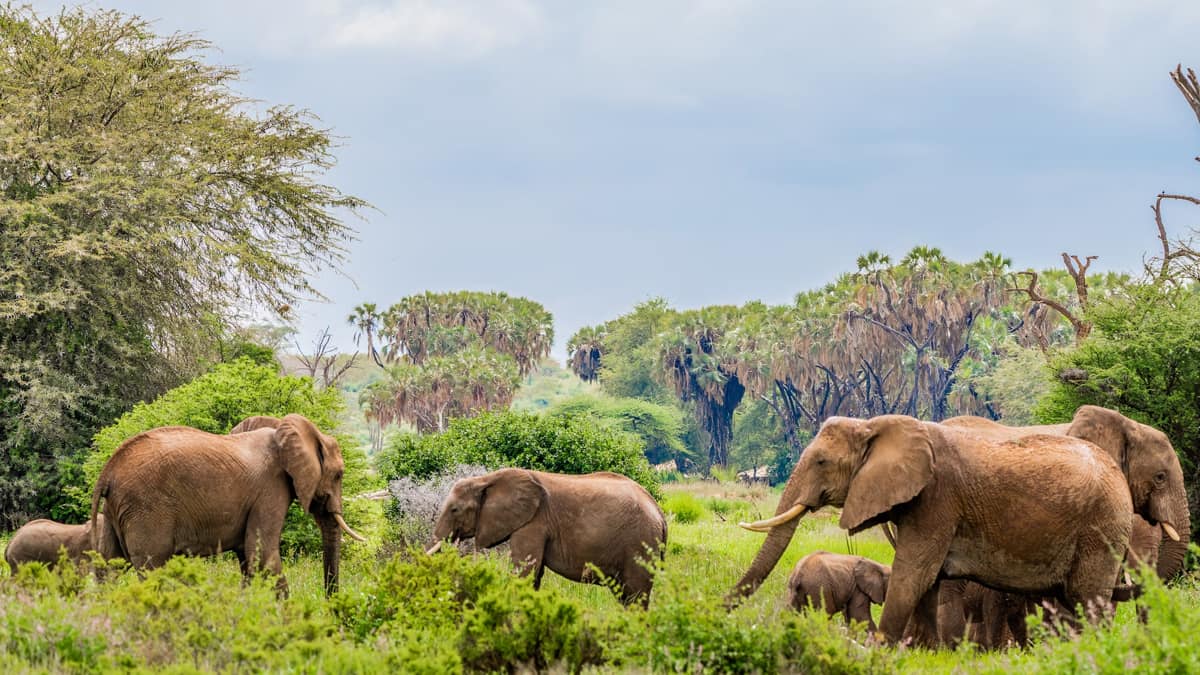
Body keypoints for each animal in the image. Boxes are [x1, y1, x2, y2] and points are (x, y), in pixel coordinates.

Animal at [88, 410, 362, 593]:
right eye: (339, 475)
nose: (330, 604)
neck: (282, 428)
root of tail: (108, 470)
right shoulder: (270, 489)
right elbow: (262, 554)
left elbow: (248, 559)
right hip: (146, 509)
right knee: (152, 568)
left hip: (116, 510)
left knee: (109, 567)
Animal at [424, 468, 672, 605]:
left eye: (454, 510)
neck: (486, 479)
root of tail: (659, 513)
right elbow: (534, 575)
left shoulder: (533, 522)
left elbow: (525, 571)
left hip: (640, 544)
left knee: (635, 595)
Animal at [729, 413, 1132, 643]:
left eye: (822, 462)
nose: (722, 610)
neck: (876, 426)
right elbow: (928, 580)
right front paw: (924, 651)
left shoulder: (938, 500)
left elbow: (914, 573)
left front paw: (883, 650)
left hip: (1101, 528)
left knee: (1089, 599)